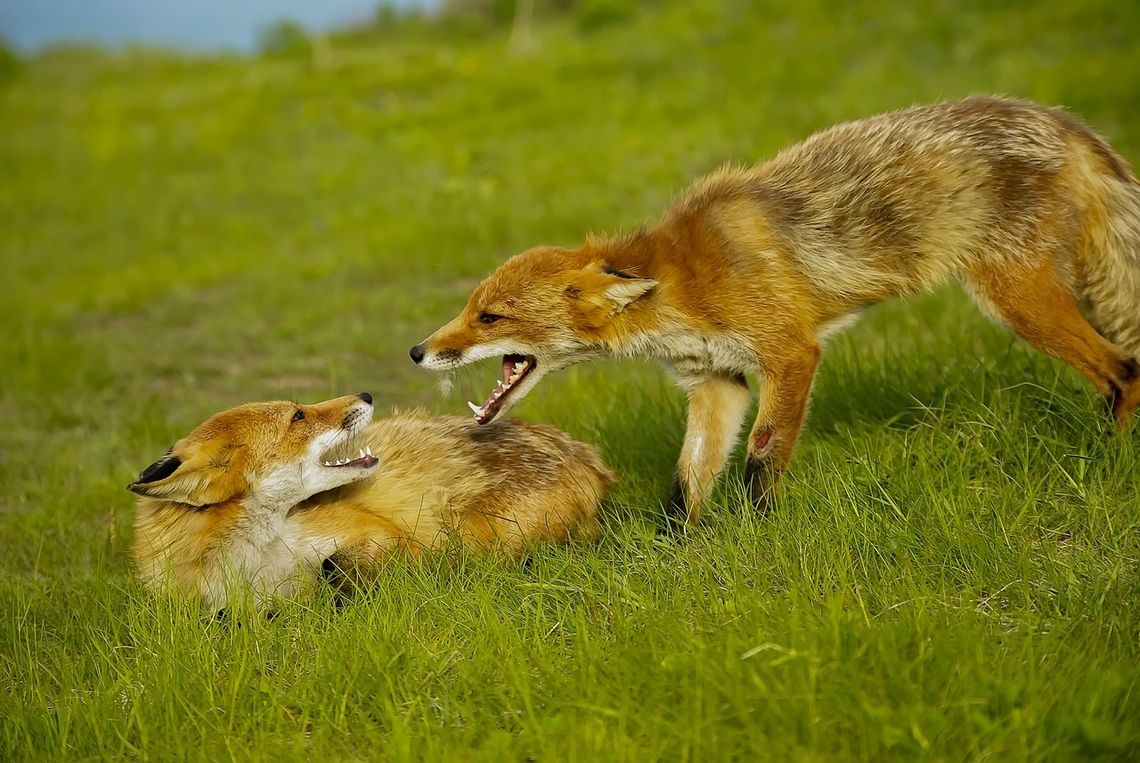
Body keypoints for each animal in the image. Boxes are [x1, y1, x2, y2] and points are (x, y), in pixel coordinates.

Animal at [129, 392, 615, 606]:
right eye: (298, 416)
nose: (366, 393)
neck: (259, 562)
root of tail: (588, 455)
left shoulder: (382, 534)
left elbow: (341, 569)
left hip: (481, 533)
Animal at [412, 93, 1140, 524]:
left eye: (491, 317)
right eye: (471, 307)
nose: (419, 351)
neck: (683, 288)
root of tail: (1057, 117)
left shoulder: (790, 353)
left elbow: (762, 458)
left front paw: (759, 534)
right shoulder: (717, 380)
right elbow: (687, 482)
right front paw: (676, 552)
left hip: (1016, 299)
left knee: (1123, 369)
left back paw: (1112, 456)